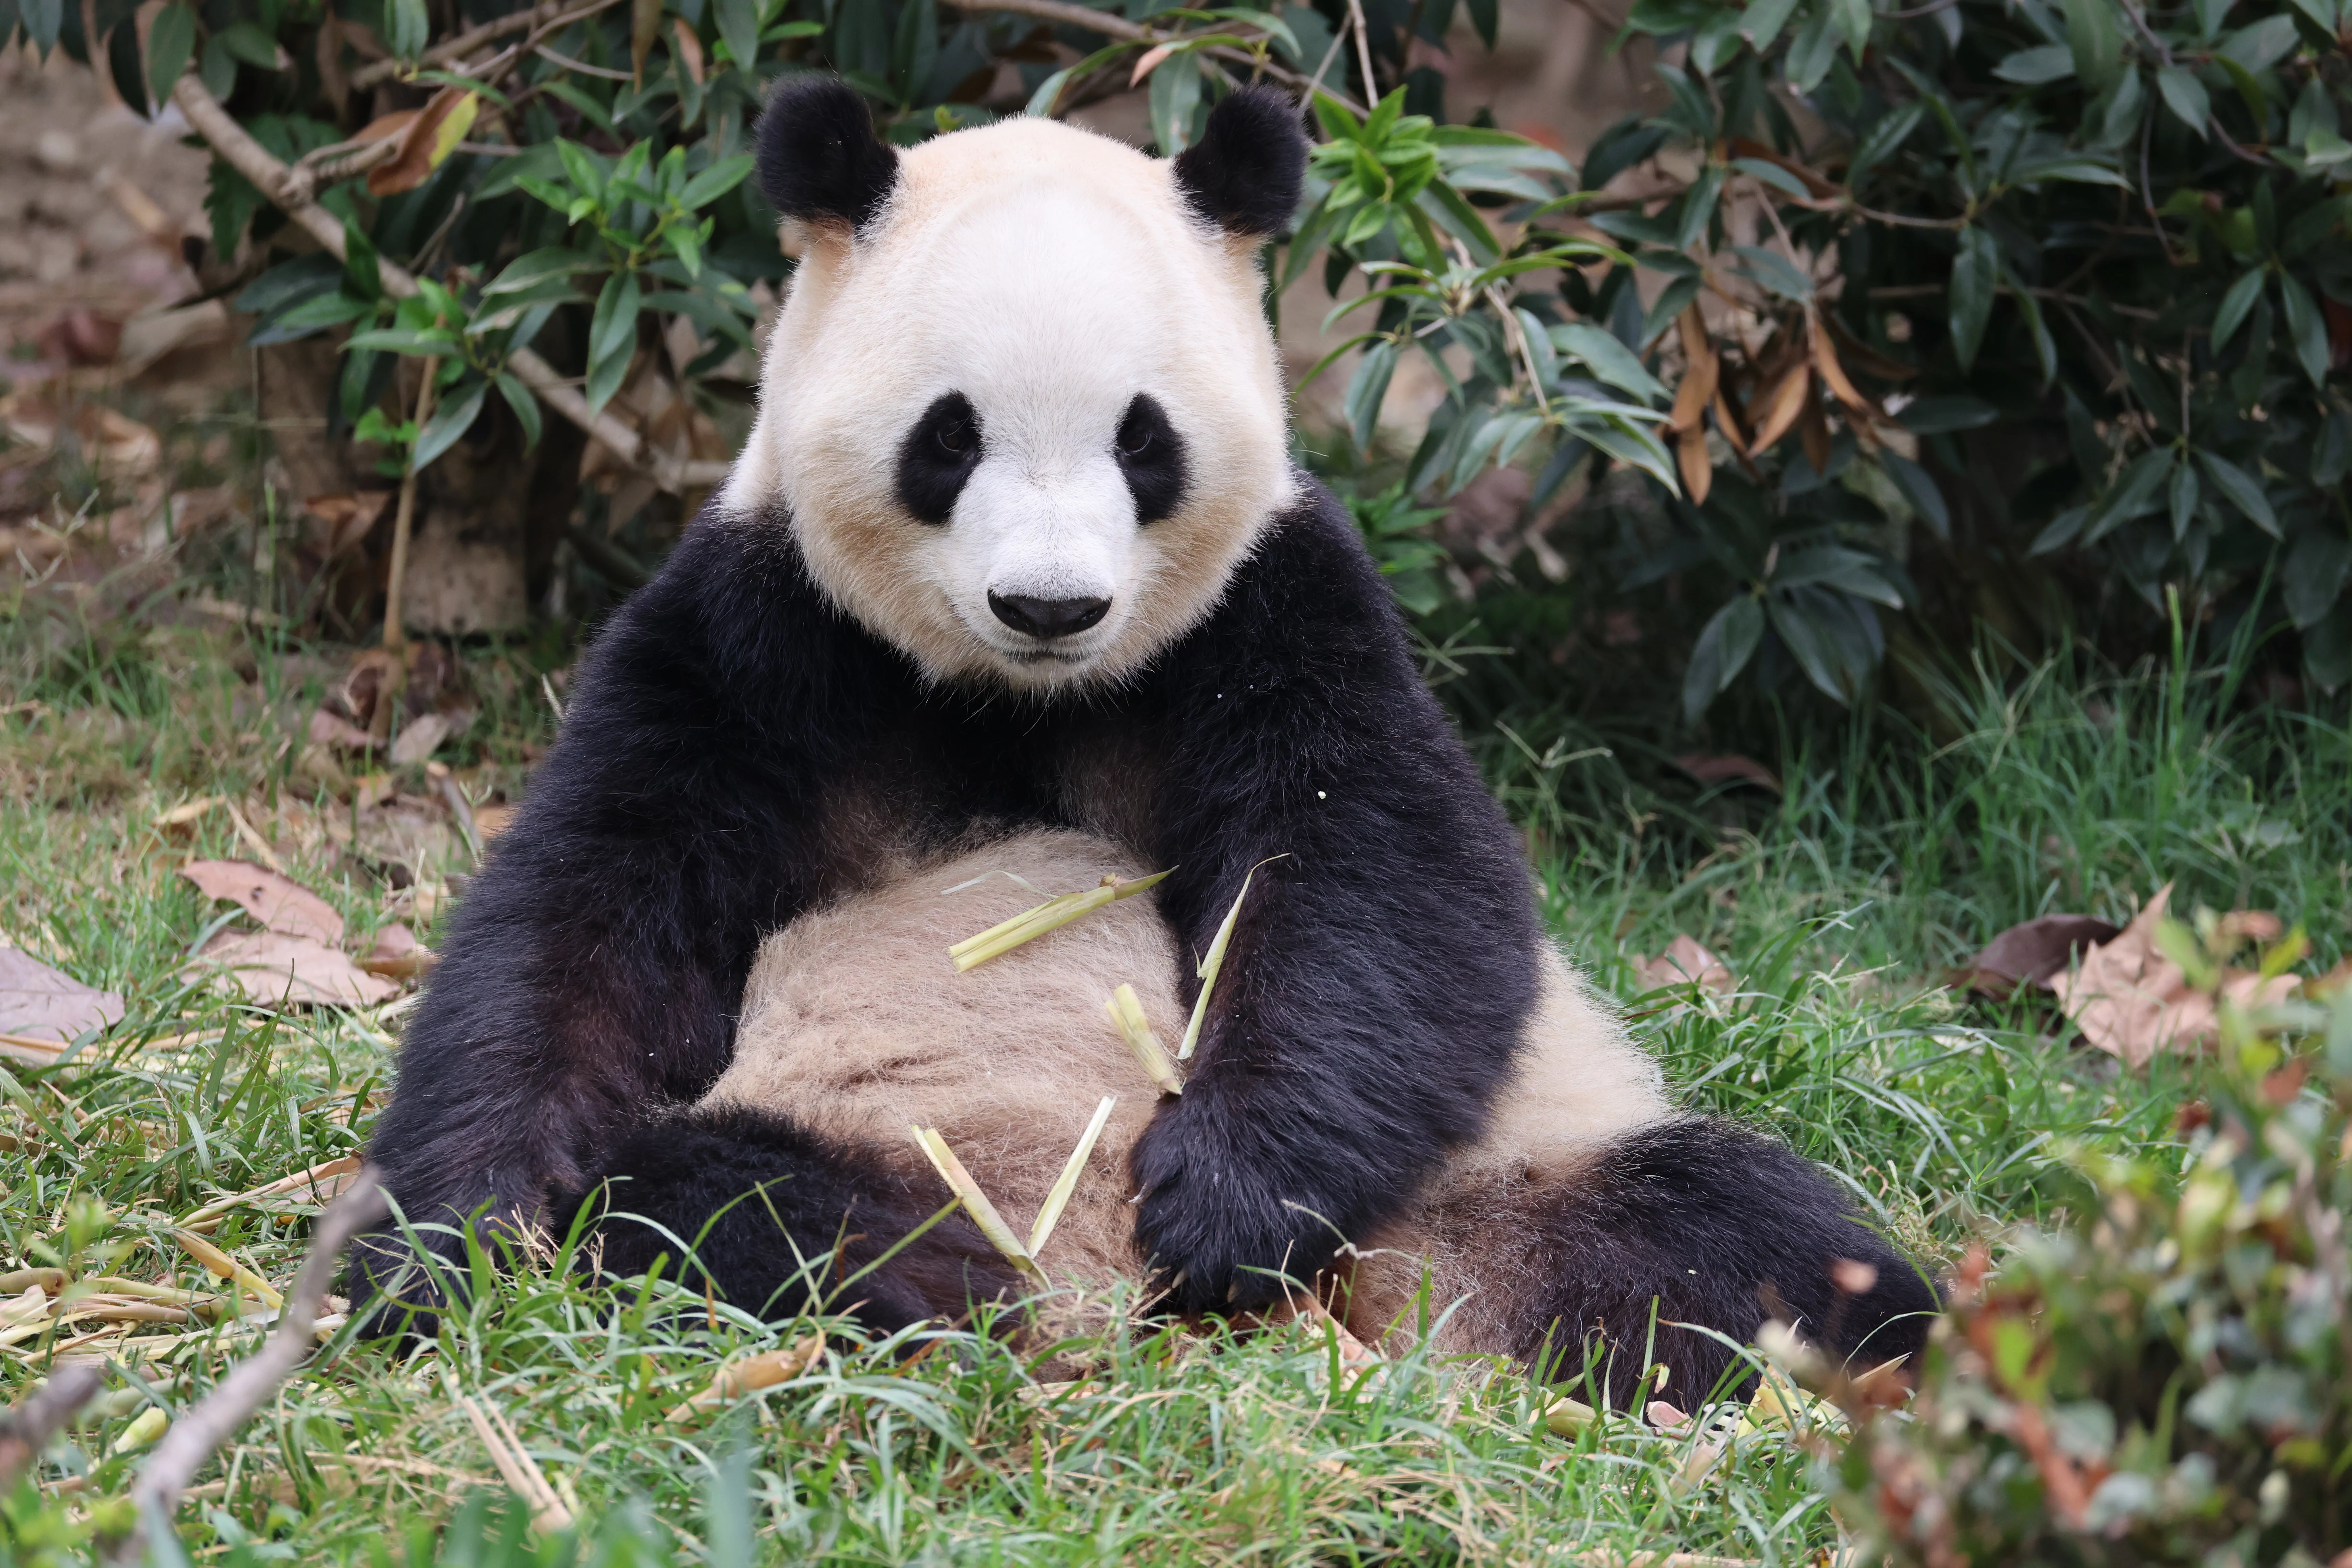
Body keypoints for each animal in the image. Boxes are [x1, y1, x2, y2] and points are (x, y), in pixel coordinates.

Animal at [357, 78, 1936, 1404]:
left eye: (1141, 439)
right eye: (948, 436)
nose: (1050, 602)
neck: (1015, 695)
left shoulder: (1273, 611)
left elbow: (1381, 880)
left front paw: (1227, 1198)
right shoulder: (764, 630)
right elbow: (588, 916)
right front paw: (442, 1242)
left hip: (1499, 1163)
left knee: (1727, 1231)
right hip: (884, 1130)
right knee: (708, 1199)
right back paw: (926, 1290)